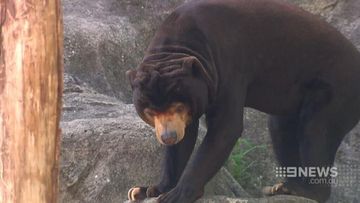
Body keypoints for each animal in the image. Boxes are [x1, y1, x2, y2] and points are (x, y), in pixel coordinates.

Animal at [126, 0, 360, 203]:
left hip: (337, 92)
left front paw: (177, 194)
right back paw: (285, 186)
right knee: (281, 129)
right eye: (150, 111)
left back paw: (305, 190)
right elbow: (184, 141)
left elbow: (225, 129)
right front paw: (147, 189)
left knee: (316, 133)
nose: (168, 136)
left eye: (178, 105)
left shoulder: (227, 68)